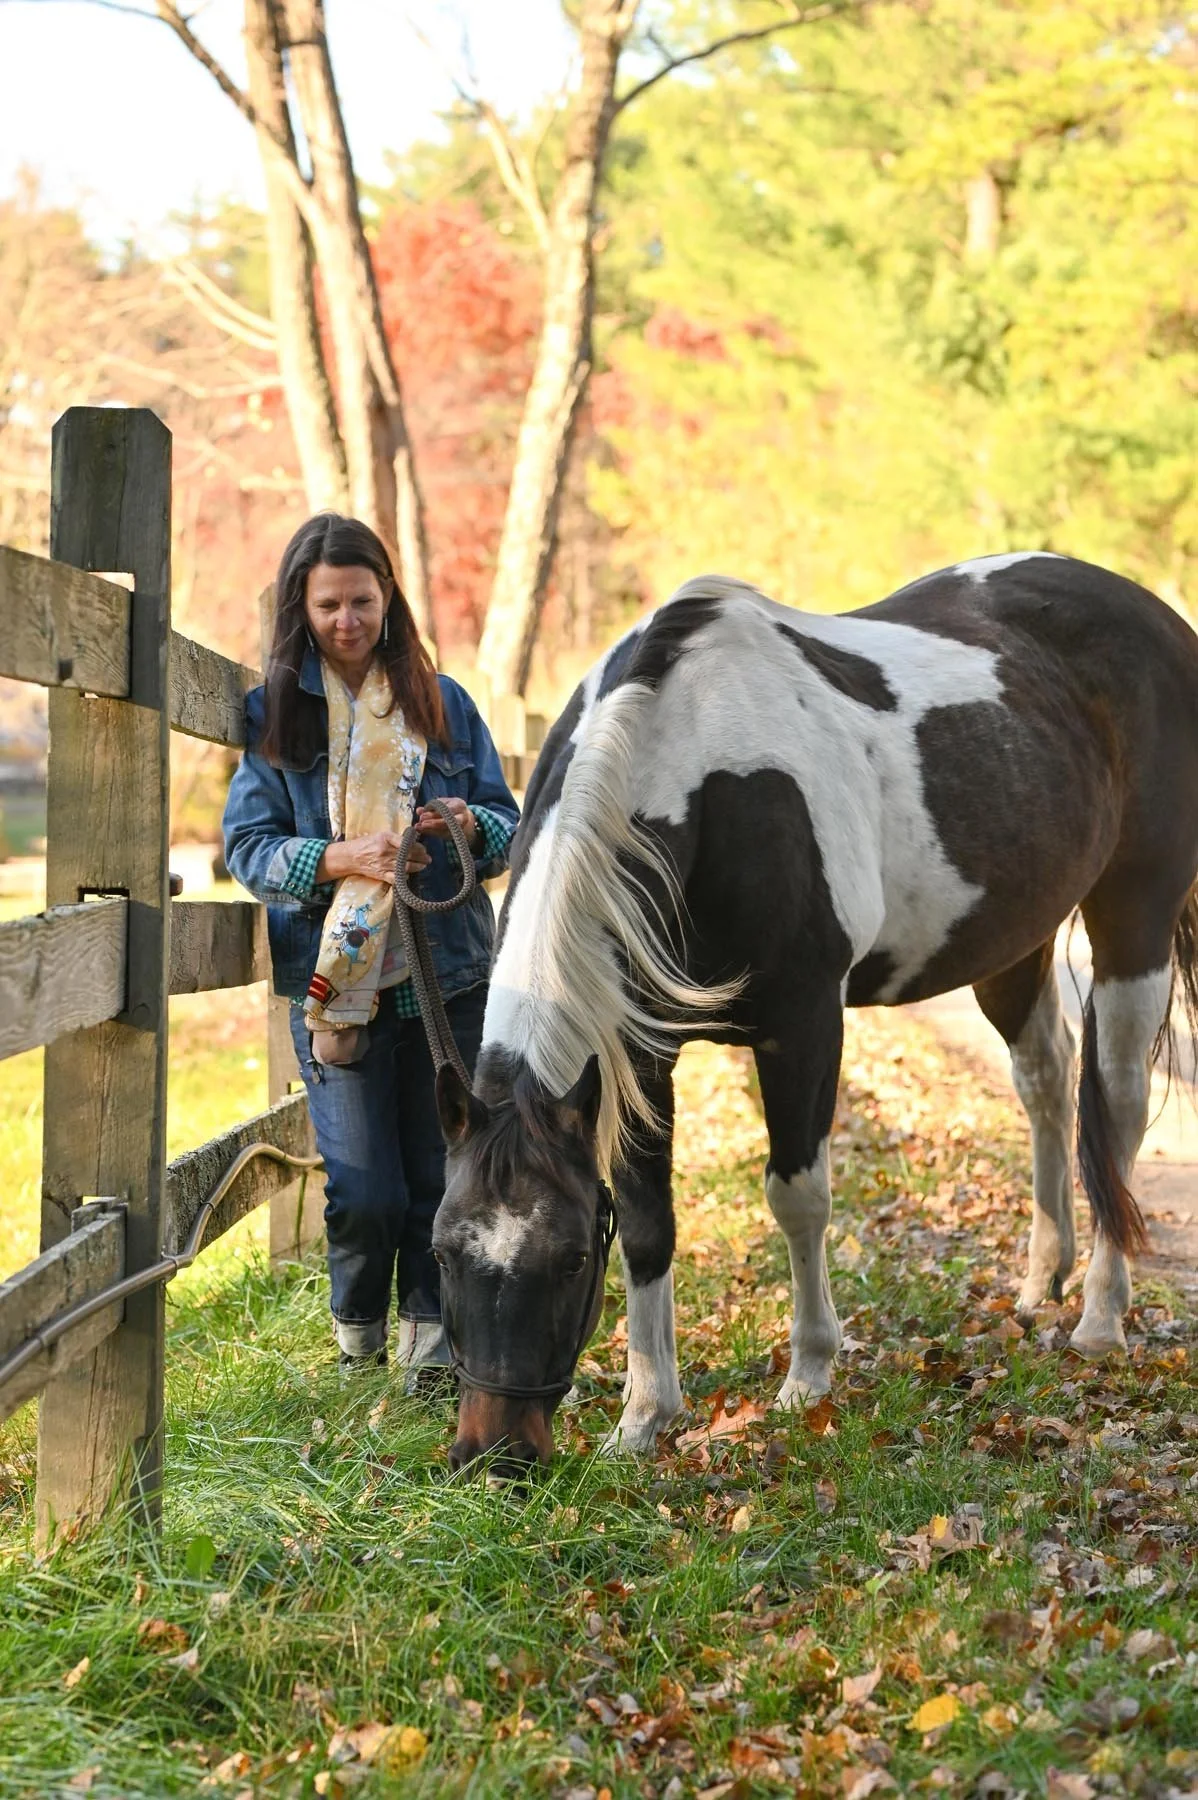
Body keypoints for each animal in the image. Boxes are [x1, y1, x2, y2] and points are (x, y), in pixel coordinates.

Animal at [432, 554, 1198, 1476]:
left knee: (1116, 1103)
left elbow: (797, 1197)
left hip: (1135, 918)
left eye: (574, 1256)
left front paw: (809, 1377)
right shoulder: (636, 1048)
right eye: (442, 1251)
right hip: (1015, 937)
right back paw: (1040, 1279)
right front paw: (645, 1417)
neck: (699, 769)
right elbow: (650, 1220)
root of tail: (1159, 619)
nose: (492, 1457)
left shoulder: (801, 1026)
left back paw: (1100, 1317)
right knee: (1046, 1080)